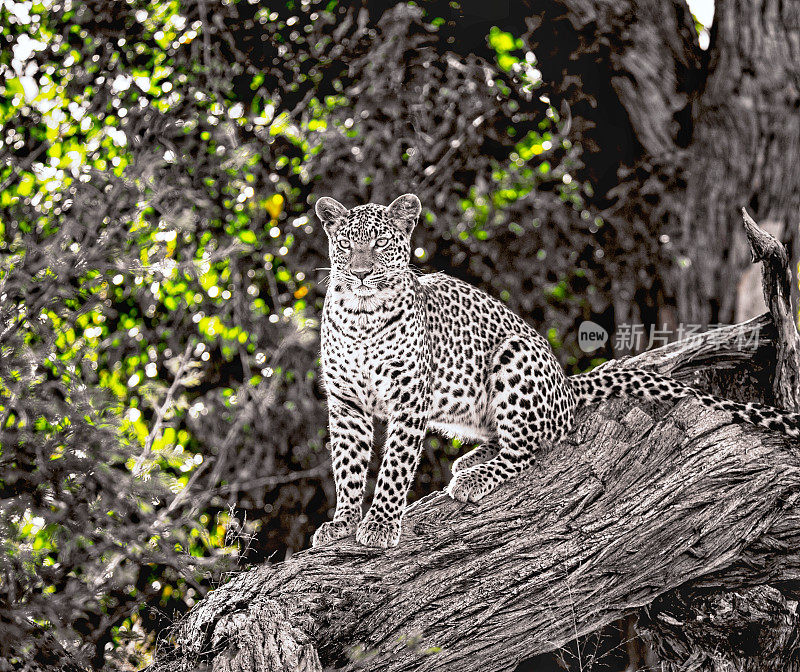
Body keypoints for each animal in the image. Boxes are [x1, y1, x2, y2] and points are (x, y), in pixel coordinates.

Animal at [310, 192, 800, 548]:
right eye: (346, 244)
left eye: (380, 243)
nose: (360, 273)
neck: (361, 317)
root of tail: (566, 384)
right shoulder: (346, 403)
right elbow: (348, 466)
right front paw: (343, 520)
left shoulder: (410, 398)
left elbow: (394, 463)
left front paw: (379, 523)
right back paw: (471, 459)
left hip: (513, 355)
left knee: (527, 448)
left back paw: (474, 477)